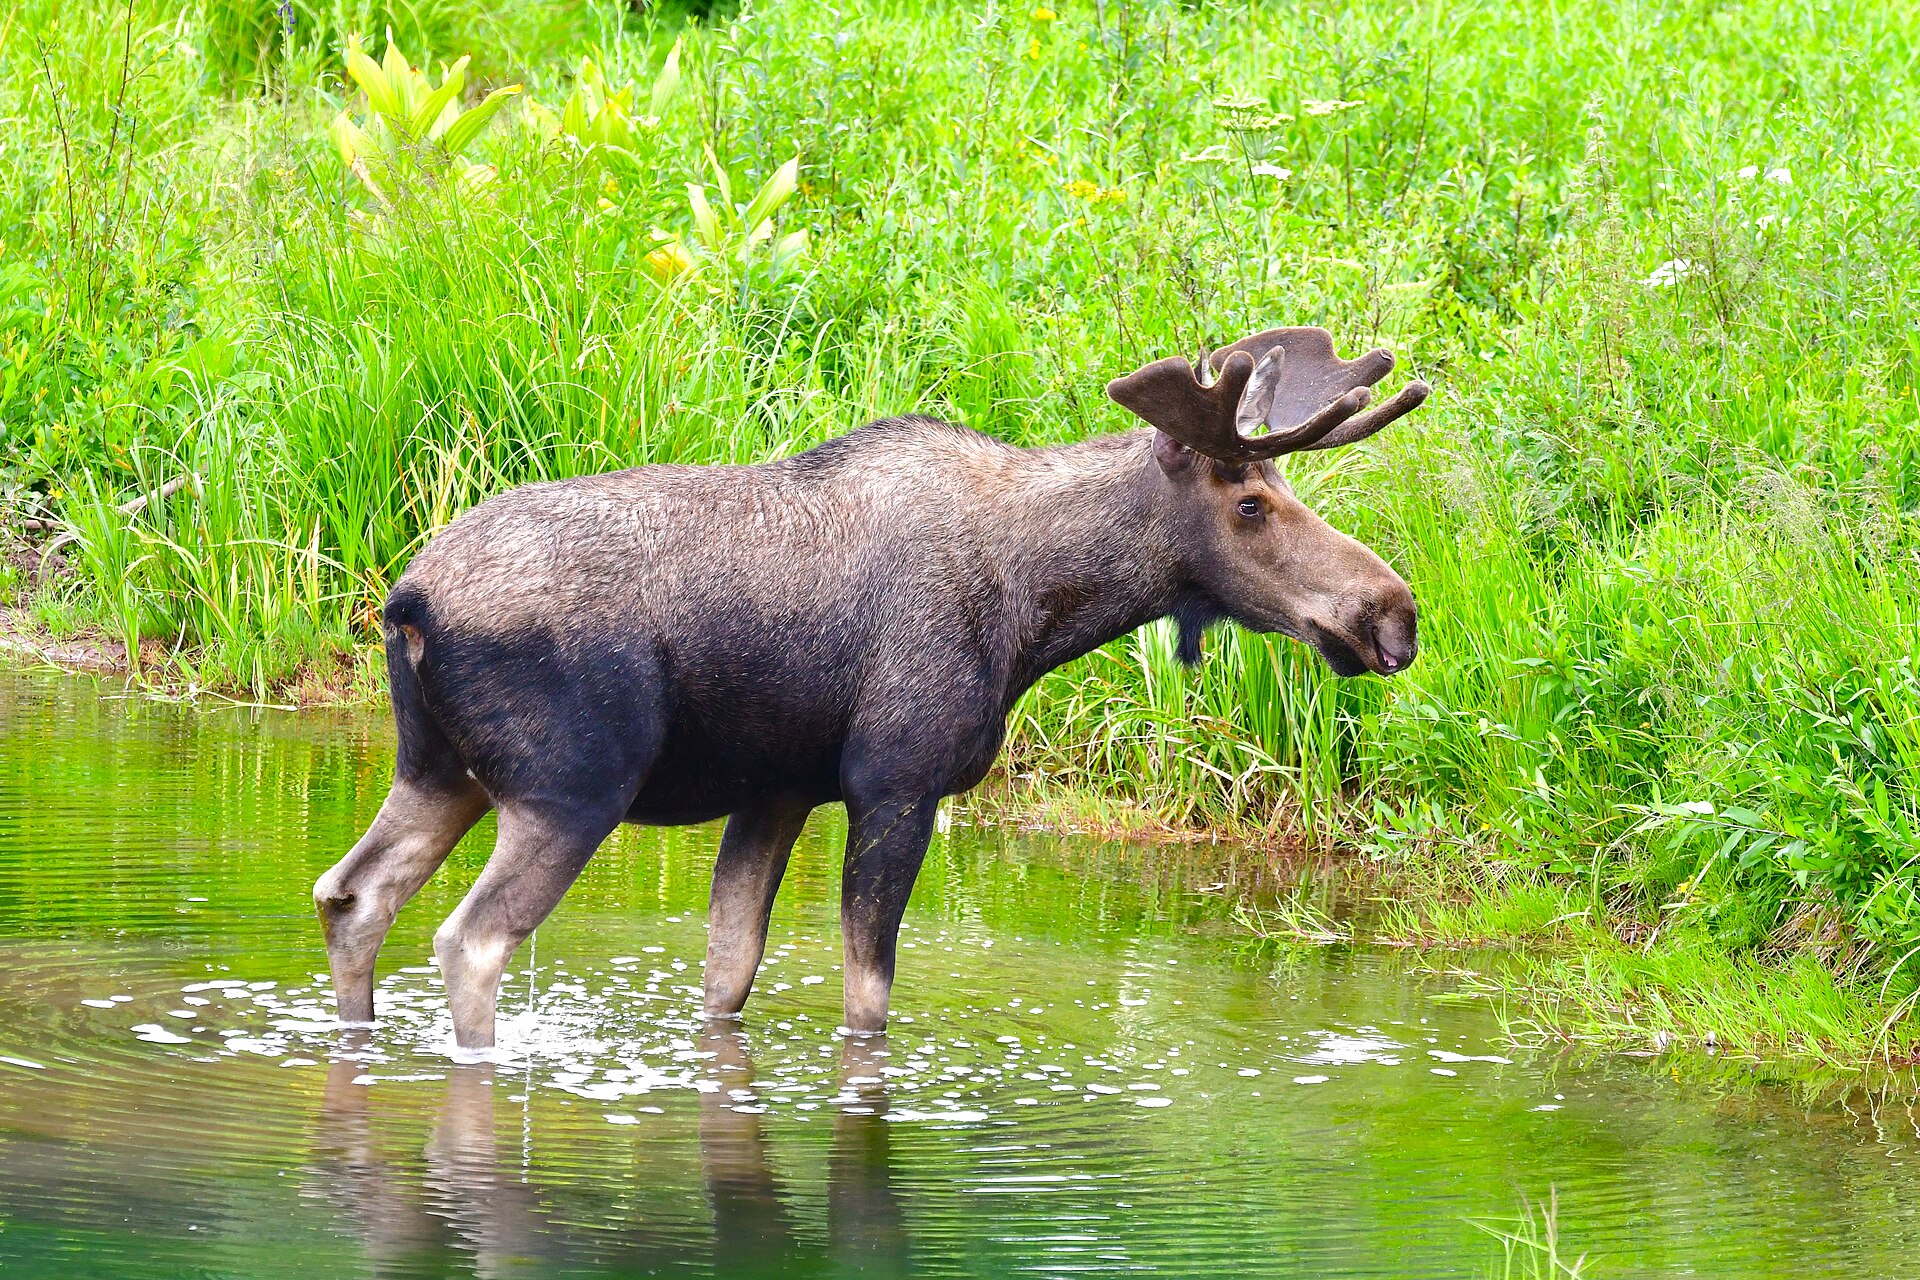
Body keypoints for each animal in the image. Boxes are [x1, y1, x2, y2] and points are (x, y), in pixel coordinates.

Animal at [311, 326, 1430, 1051]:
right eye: (1248, 503)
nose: (1393, 612)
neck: (1039, 609)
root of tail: (408, 599)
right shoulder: (896, 778)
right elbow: (869, 995)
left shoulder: (777, 787)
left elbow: (729, 970)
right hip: (570, 786)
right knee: (470, 939)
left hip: (439, 771)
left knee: (350, 893)